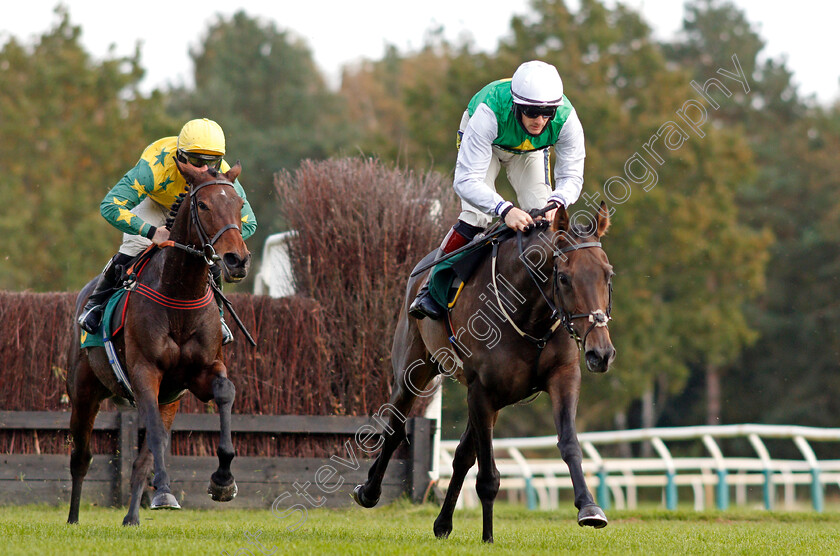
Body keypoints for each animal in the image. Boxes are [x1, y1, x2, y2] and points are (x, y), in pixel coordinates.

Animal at [66, 159, 251, 524]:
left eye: (239, 204)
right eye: (203, 205)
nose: (237, 260)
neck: (180, 295)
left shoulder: (201, 372)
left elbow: (225, 393)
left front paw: (223, 481)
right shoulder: (145, 372)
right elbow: (150, 434)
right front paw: (165, 483)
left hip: (170, 399)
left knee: (141, 457)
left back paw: (134, 515)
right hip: (84, 389)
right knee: (81, 457)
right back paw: (74, 519)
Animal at [352, 202, 612, 540]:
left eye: (608, 275)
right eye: (565, 278)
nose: (601, 353)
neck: (529, 315)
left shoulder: (563, 377)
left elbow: (568, 443)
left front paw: (589, 507)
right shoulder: (481, 391)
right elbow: (488, 475)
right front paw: (488, 537)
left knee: (463, 454)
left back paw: (443, 523)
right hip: (413, 369)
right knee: (395, 428)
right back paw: (369, 491)